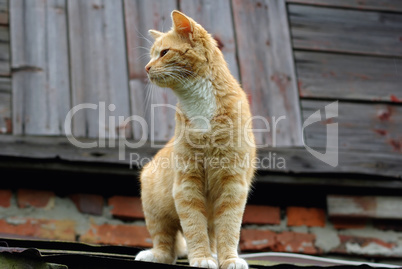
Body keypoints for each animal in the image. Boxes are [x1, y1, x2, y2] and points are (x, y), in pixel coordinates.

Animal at [134, 10, 254, 268]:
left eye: (163, 53)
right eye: (151, 55)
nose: (147, 67)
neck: (199, 103)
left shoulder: (233, 184)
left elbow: (229, 229)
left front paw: (229, 259)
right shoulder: (187, 184)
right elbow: (194, 227)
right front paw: (201, 258)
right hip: (155, 208)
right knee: (166, 245)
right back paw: (154, 254)